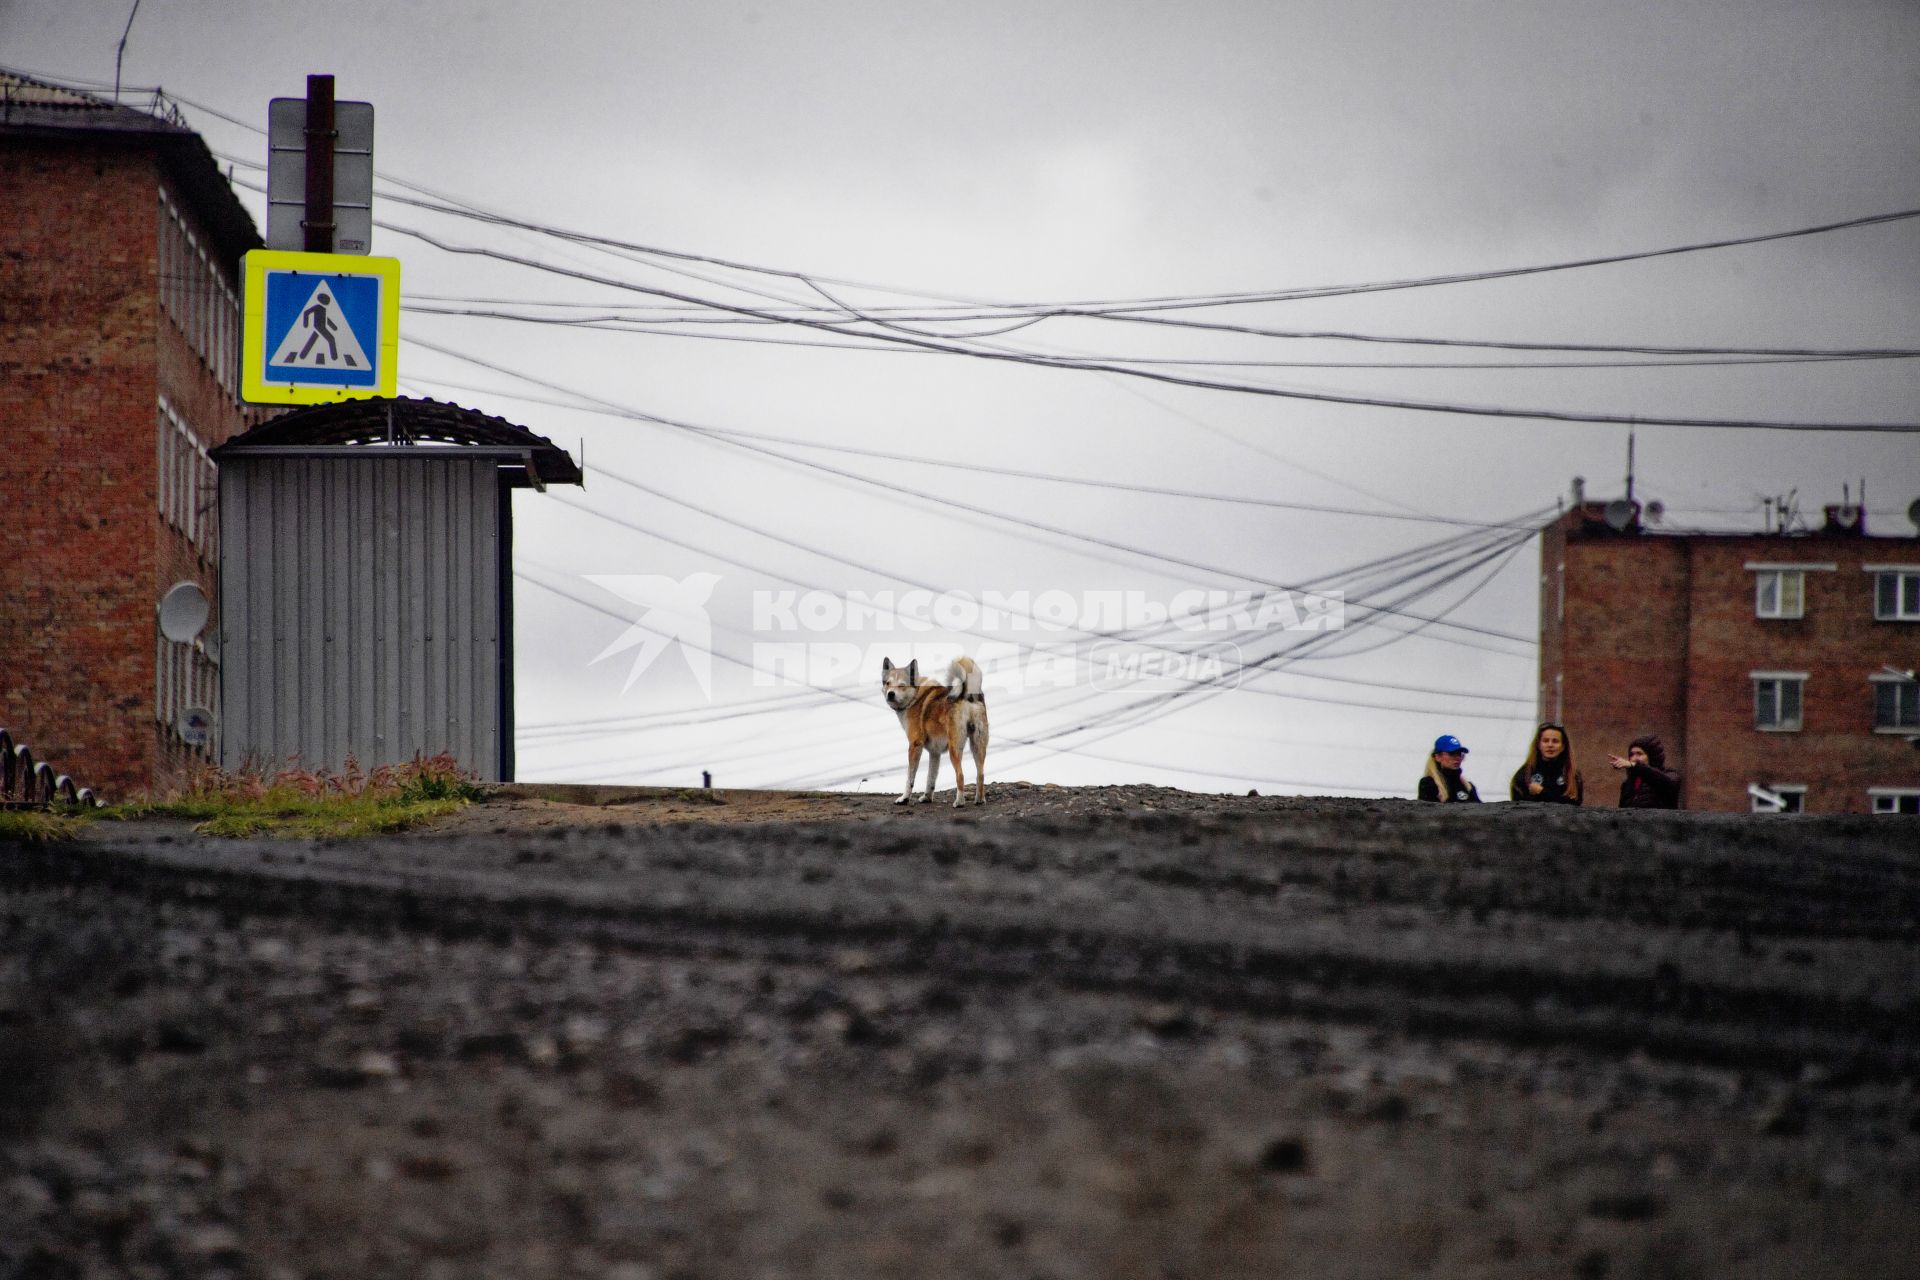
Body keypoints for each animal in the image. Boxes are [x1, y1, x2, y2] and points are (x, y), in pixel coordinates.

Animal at [883, 656, 990, 805]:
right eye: (888, 683)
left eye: (902, 685)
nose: (890, 694)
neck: (915, 696)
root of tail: (966, 694)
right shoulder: (935, 753)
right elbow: (931, 778)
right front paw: (927, 797)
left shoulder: (915, 745)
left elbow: (910, 778)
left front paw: (904, 798)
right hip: (977, 746)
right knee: (981, 774)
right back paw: (979, 800)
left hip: (954, 750)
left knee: (960, 775)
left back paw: (959, 802)